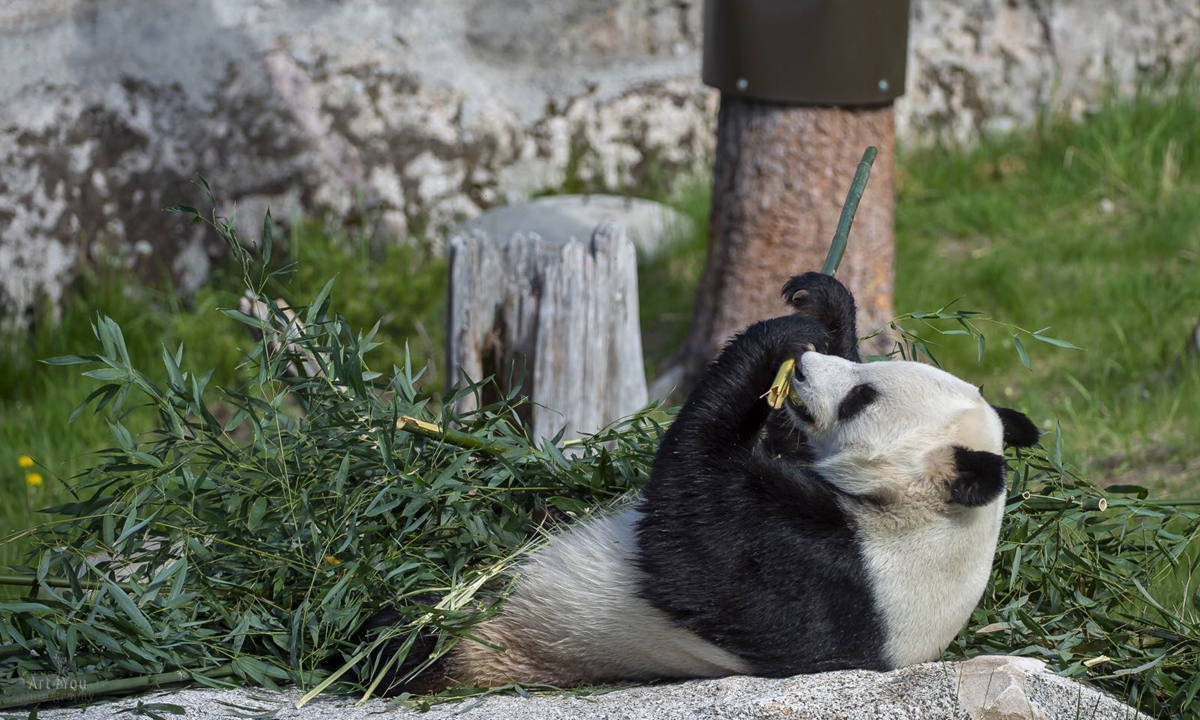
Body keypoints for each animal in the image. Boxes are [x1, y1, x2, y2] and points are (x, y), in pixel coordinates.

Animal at [365, 272, 1040, 693]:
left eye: (863, 398)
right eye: (869, 370)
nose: (810, 369)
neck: (931, 526)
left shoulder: (832, 576)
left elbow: (690, 521)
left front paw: (777, 340)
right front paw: (822, 310)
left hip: (494, 635)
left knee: (403, 639)